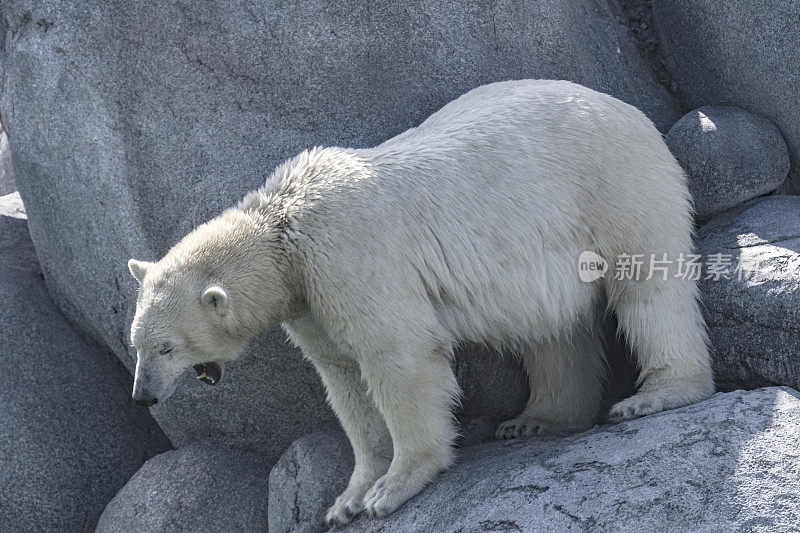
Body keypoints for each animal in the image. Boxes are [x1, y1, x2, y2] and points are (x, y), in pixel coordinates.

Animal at [128, 81, 716, 524]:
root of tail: (632, 112)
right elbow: (344, 381)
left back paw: (656, 394)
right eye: (135, 343)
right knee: (552, 327)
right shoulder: (310, 302)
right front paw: (346, 500)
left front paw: (390, 490)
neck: (285, 229)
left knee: (646, 285)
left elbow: (398, 357)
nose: (142, 395)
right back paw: (536, 419)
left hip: (613, 183)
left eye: (165, 347)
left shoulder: (349, 258)